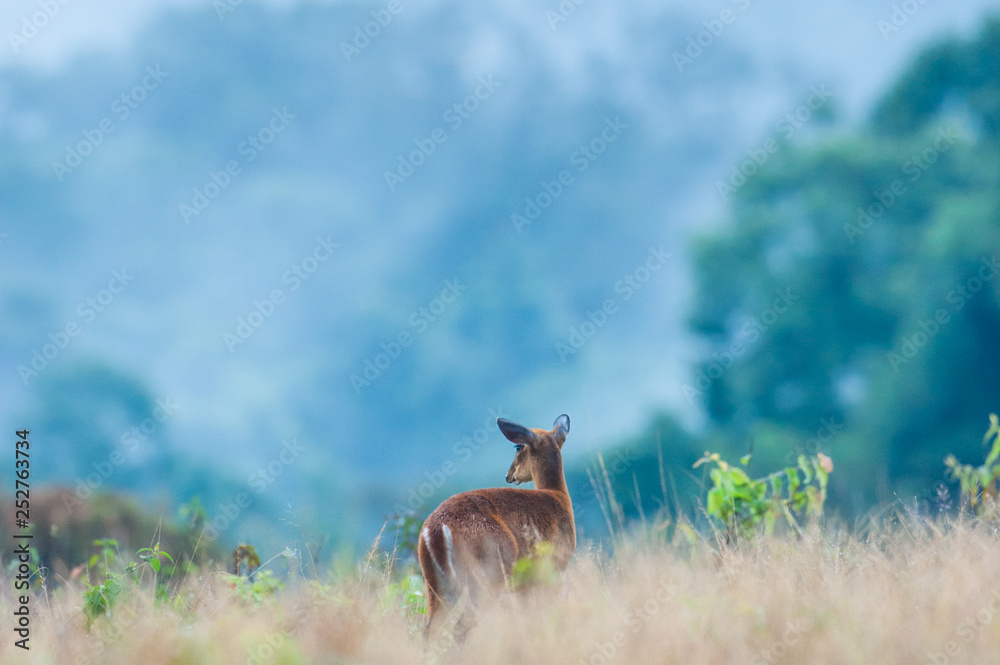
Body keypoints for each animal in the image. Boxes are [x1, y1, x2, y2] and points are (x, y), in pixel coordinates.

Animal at [417, 414, 575, 637]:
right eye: (517, 446)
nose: (508, 475)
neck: (557, 496)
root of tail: (436, 529)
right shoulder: (552, 567)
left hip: (436, 584)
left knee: (429, 629)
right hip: (489, 572)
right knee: (462, 626)